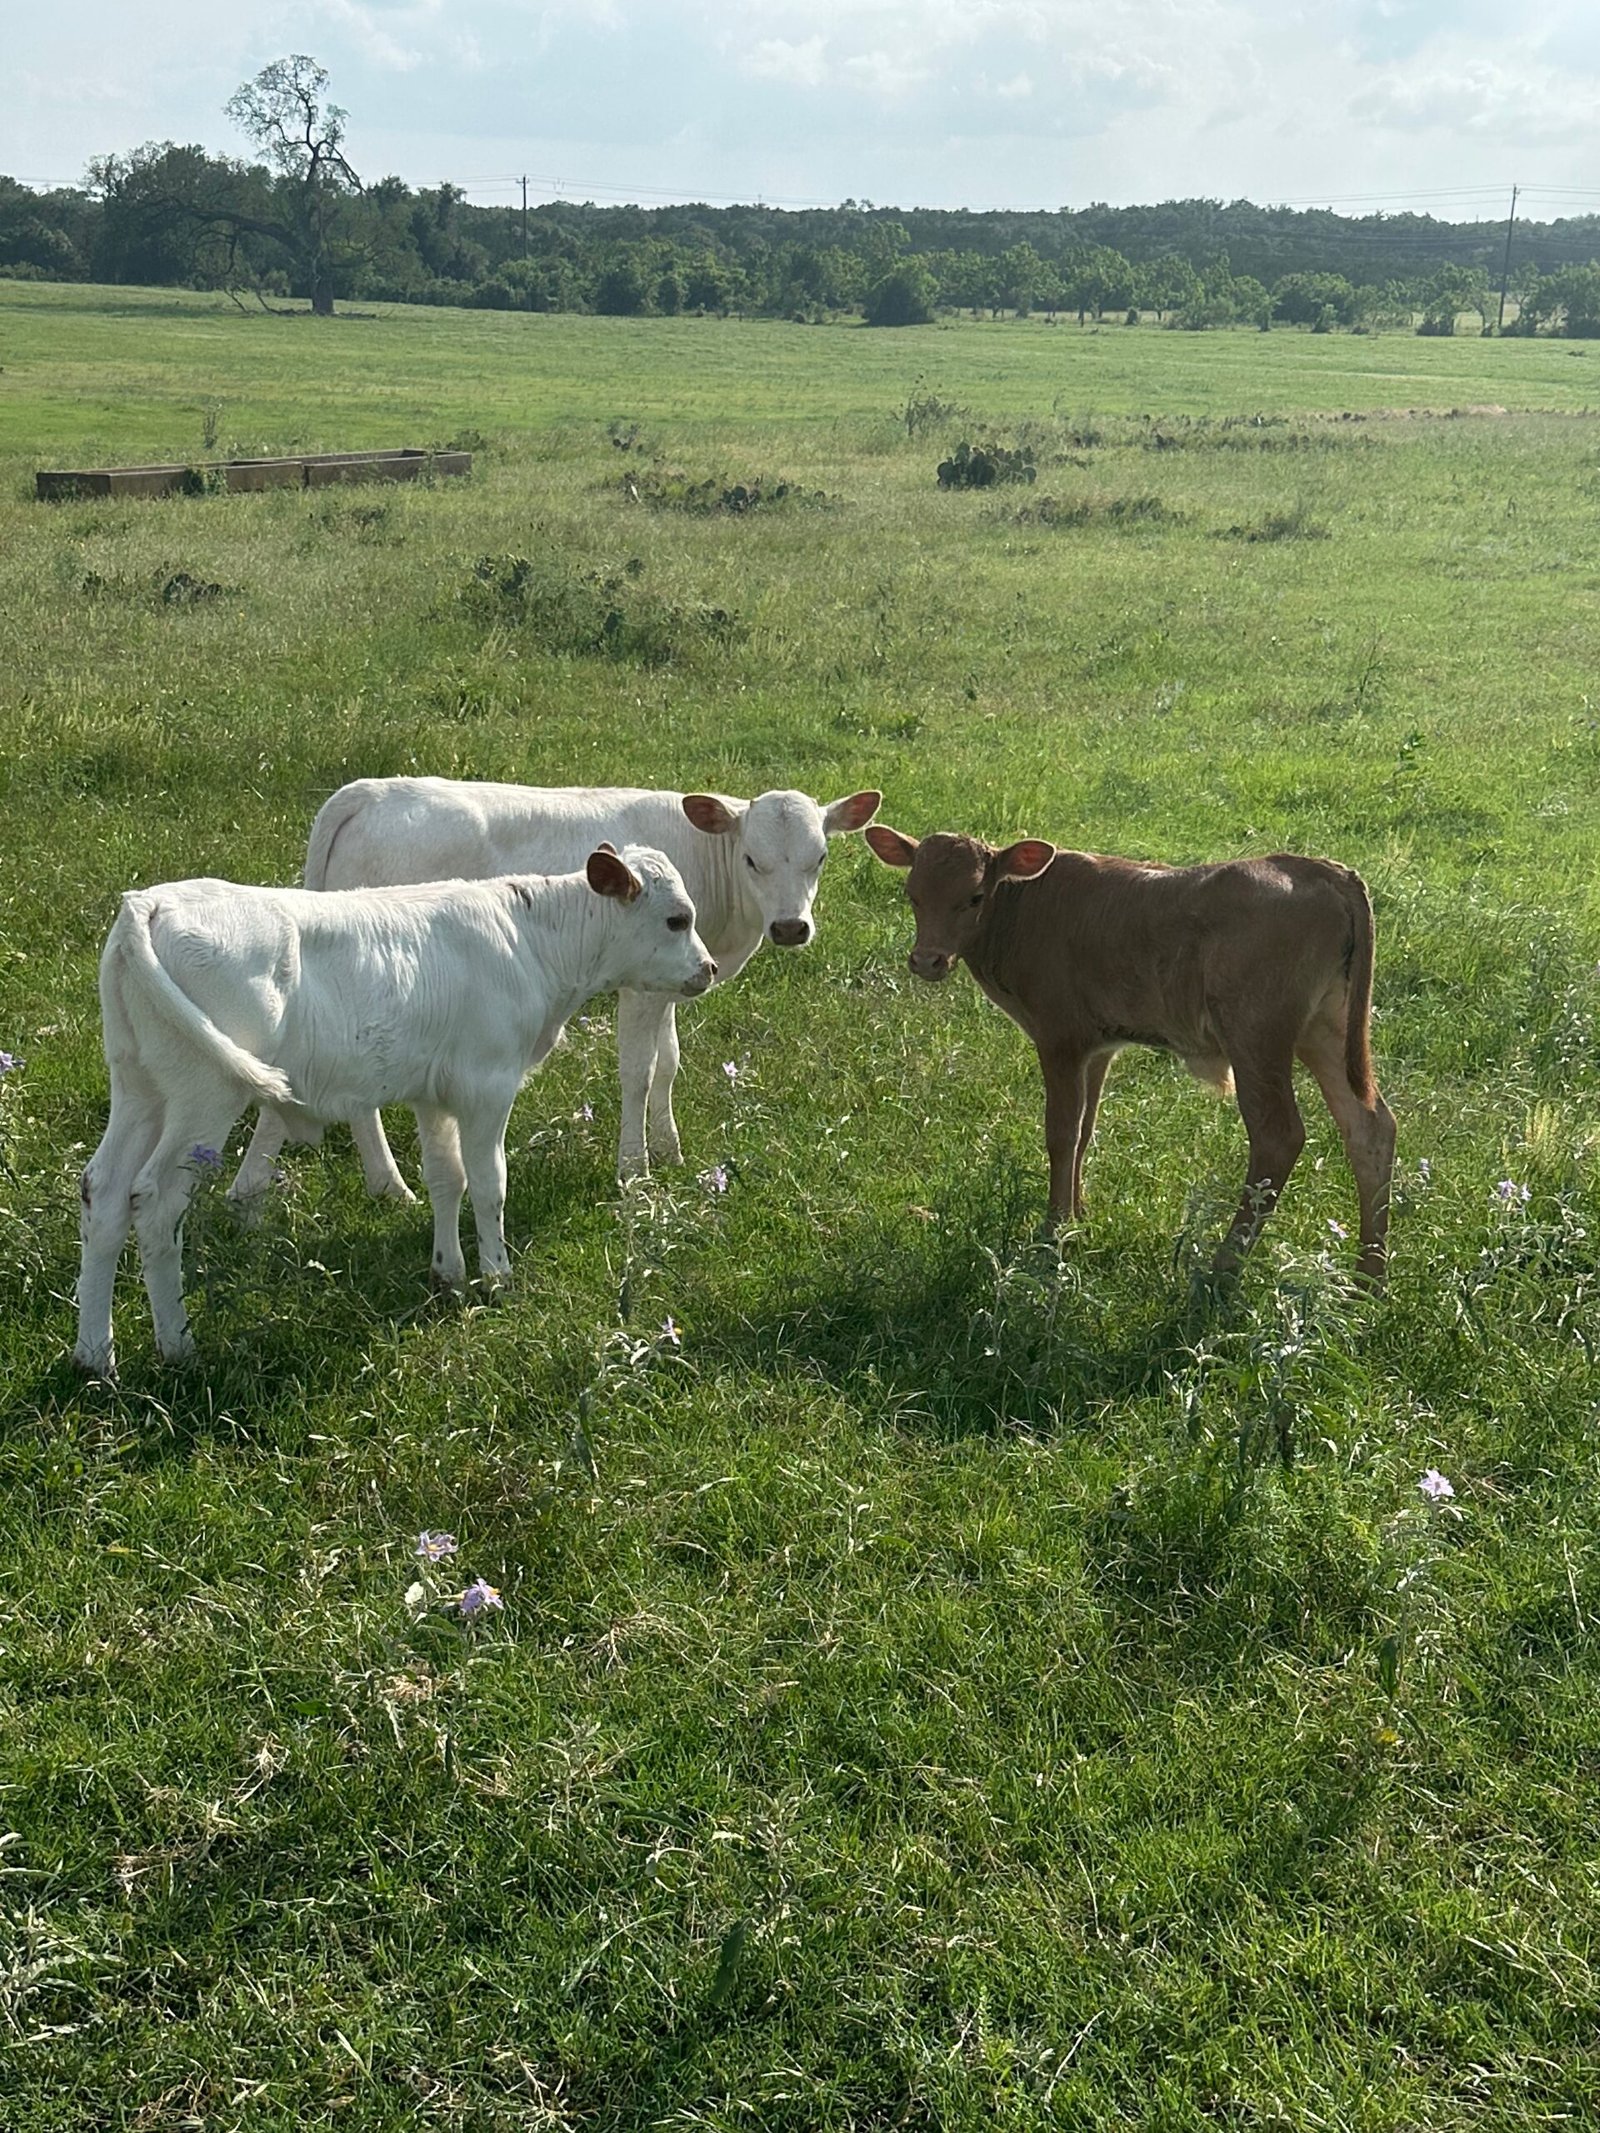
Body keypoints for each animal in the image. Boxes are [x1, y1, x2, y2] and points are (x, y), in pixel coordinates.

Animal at [73, 846, 715, 1378]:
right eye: (677, 919)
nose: (708, 969)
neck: (529, 941)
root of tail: (152, 901)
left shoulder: (435, 1095)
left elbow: (446, 1178)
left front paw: (447, 1273)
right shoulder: (487, 1087)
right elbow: (489, 1183)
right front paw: (498, 1276)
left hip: (140, 1090)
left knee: (104, 1191)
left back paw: (94, 1355)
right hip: (204, 1097)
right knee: (156, 1204)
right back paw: (177, 1345)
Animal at [228, 776, 881, 1206]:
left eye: (821, 858)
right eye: (751, 859)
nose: (791, 927)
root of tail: (370, 791)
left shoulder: (671, 978)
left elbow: (670, 1063)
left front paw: (671, 1151)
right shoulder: (642, 986)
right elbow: (639, 1070)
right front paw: (634, 1168)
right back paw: (389, 1186)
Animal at [865, 826, 1396, 1281]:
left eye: (974, 897)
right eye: (912, 894)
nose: (927, 960)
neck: (1025, 908)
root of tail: (1317, 868)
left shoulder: (1058, 1038)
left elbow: (1060, 1133)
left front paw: (1053, 1230)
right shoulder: (1097, 1046)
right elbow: (1085, 1130)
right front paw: (1078, 1213)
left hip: (1256, 1037)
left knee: (1278, 1136)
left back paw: (1224, 1267)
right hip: (1326, 1029)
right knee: (1369, 1128)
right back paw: (1368, 1277)